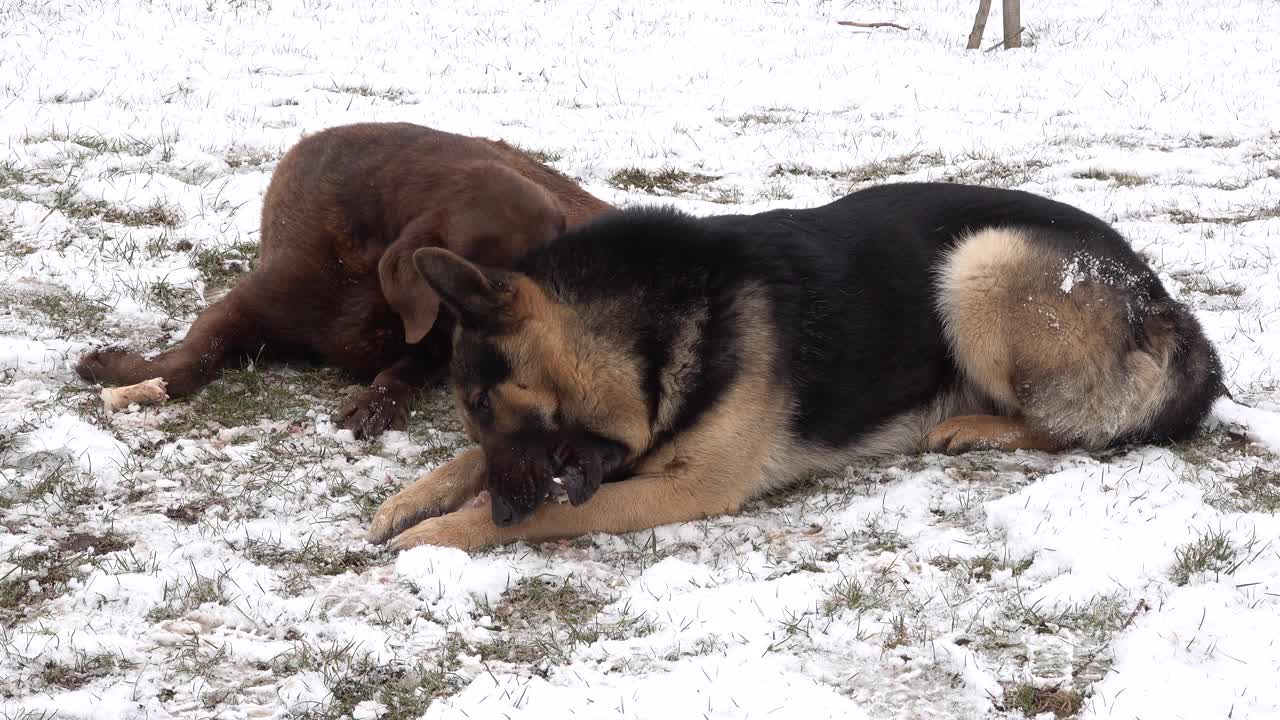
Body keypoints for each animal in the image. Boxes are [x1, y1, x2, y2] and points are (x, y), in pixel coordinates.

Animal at [76, 121, 614, 435]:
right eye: (501, 282)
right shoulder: (249, 304)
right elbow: (191, 361)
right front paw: (116, 368)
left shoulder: (437, 341)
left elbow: (402, 370)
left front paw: (376, 403)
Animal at [366, 181, 1223, 545]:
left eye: (483, 406)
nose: (509, 508)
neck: (659, 330)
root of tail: (1158, 295)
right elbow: (467, 470)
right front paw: (413, 499)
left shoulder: (687, 490)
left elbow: (542, 508)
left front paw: (442, 533)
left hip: (981, 262)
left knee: (1081, 423)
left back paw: (977, 427)